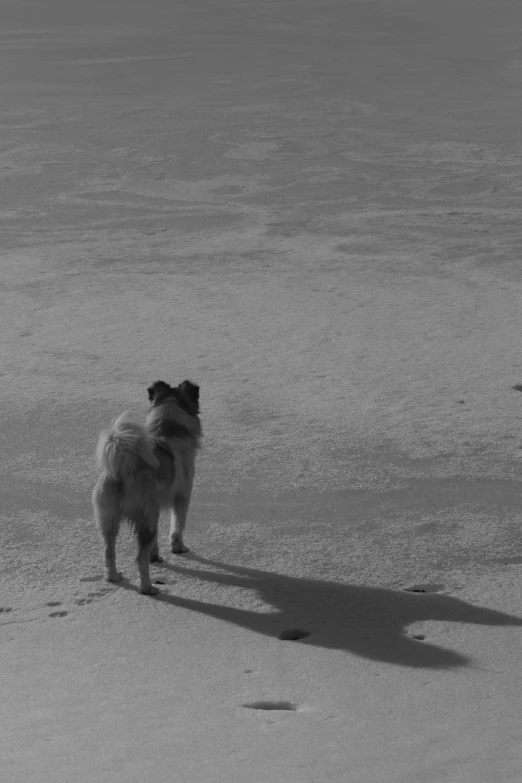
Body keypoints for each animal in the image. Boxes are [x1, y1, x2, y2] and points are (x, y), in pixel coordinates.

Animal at [91, 380, 201, 596]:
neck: (166, 430)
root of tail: (124, 471)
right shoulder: (182, 498)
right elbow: (177, 527)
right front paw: (179, 549)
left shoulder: (156, 509)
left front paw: (156, 556)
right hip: (145, 519)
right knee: (139, 558)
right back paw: (147, 588)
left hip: (109, 519)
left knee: (108, 552)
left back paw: (114, 577)